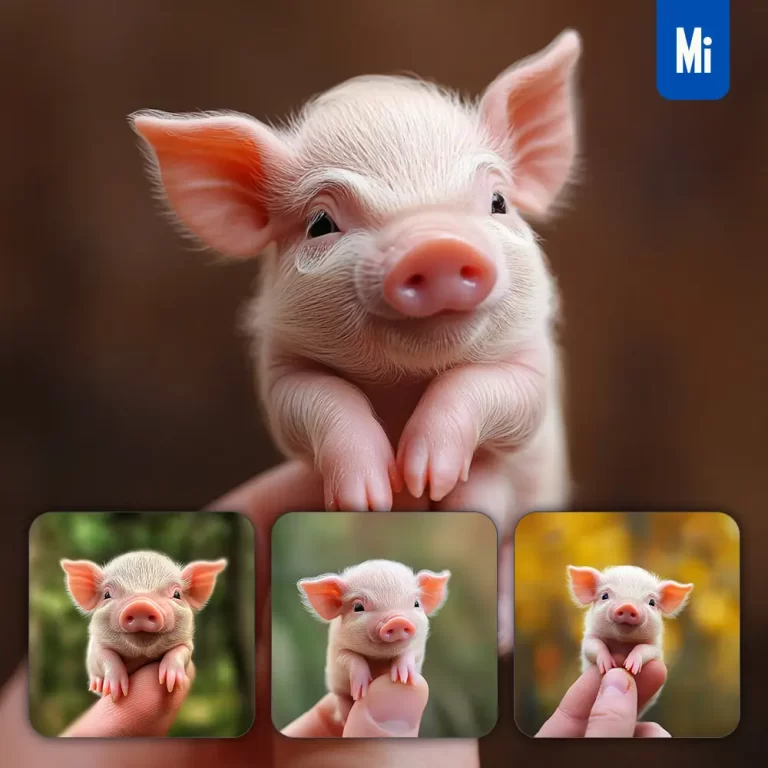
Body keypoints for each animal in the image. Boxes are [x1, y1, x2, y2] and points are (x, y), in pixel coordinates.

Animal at [61, 550, 227, 701]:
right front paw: (116, 692)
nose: (140, 605)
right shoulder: (97, 646)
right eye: (107, 595)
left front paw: (171, 683)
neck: (140, 655)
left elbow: (180, 652)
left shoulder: (186, 644)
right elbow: (106, 657)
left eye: (177, 594)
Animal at [129, 29, 584, 650]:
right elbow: (318, 401)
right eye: (321, 223)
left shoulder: (536, 370)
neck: (405, 382)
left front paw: (428, 476)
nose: (436, 245)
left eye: (498, 203)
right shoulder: (282, 369)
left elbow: (489, 387)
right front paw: (373, 495)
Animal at [298, 559, 450, 722]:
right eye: (358, 607)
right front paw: (361, 692)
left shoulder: (418, 650)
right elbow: (350, 656)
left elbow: (408, 653)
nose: (397, 621)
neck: (378, 659)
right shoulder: (336, 651)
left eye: (416, 603)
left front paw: (403, 679)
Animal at [567, 564, 694, 716]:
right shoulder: (589, 638)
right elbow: (594, 646)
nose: (628, 606)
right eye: (605, 596)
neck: (622, 642)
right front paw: (608, 665)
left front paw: (630, 666)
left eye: (652, 602)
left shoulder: (655, 647)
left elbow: (644, 649)